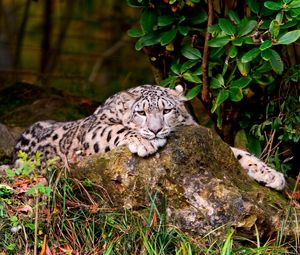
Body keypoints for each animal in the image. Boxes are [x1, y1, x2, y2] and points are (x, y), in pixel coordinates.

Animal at [14, 84, 286, 190]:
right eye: (142, 112)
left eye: (166, 111)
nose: (155, 130)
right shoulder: (94, 128)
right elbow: (115, 130)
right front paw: (144, 142)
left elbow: (237, 153)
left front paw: (272, 175)